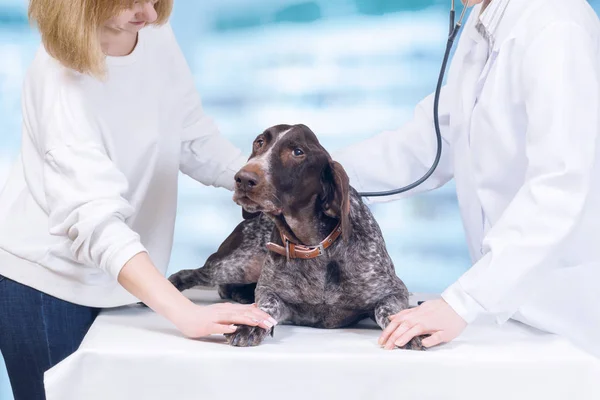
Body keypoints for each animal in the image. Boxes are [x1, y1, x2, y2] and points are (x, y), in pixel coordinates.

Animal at [166, 122, 424, 350]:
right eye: (259, 142)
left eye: (298, 152)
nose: (243, 179)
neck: (312, 245)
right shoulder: (271, 293)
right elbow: (265, 306)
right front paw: (249, 325)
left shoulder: (393, 291)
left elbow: (390, 311)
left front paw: (407, 328)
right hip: (233, 266)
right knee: (188, 274)